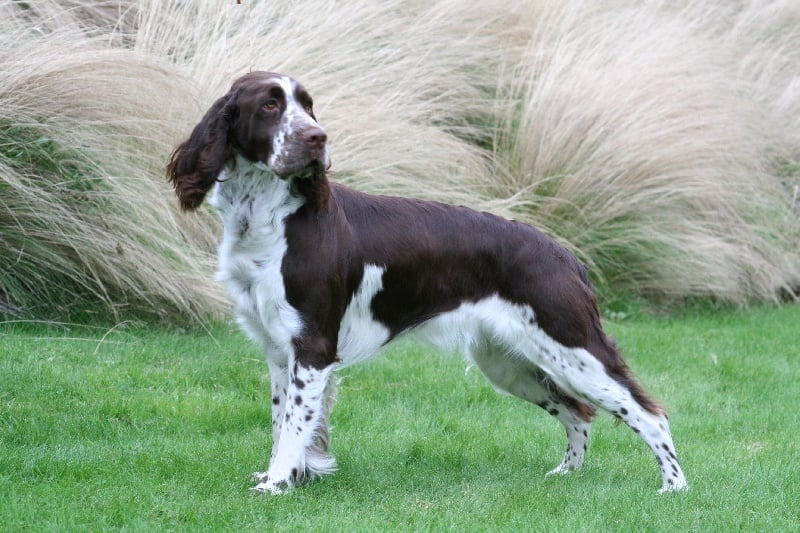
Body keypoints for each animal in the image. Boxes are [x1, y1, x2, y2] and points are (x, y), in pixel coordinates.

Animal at [167, 71, 688, 494]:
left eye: (308, 106)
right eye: (270, 105)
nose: (318, 137)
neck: (272, 217)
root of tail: (563, 254)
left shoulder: (312, 348)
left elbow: (295, 426)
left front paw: (277, 484)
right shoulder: (279, 349)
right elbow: (283, 422)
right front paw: (291, 475)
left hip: (574, 349)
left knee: (648, 414)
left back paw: (674, 488)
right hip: (510, 362)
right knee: (579, 413)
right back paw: (567, 474)